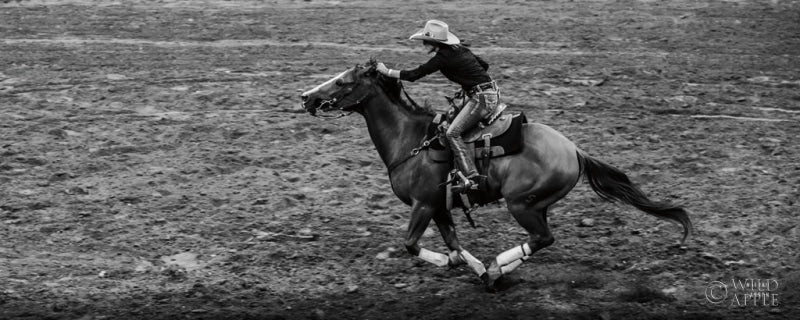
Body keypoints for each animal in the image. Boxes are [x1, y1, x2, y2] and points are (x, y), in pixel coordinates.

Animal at [296, 60, 692, 290]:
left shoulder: (422, 205)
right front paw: (473, 268)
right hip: (538, 204)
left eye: (342, 82)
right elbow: (455, 247)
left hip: (522, 203)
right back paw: (496, 270)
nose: (305, 97)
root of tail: (574, 150)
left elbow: (411, 244)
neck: (411, 140)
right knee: (541, 238)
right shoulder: (439, 207)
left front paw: (478, 269)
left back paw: (500, 267)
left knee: (542, 238)